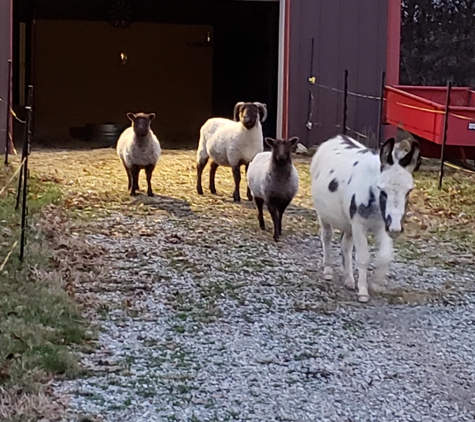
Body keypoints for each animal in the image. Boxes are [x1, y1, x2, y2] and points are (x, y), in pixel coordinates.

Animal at [310, 134, 422, 302]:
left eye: (408, 191)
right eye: (383, 191)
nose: (395, 229)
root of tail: (337, 137)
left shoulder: (382, 225)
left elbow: (385, 256)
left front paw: (376, 282)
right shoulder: (359, 224)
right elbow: (363, 258)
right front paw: (363, 292)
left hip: (348, 224)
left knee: (345, 246)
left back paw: (349, 280)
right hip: (324, 215)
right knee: (327, 237)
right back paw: (328, 270)